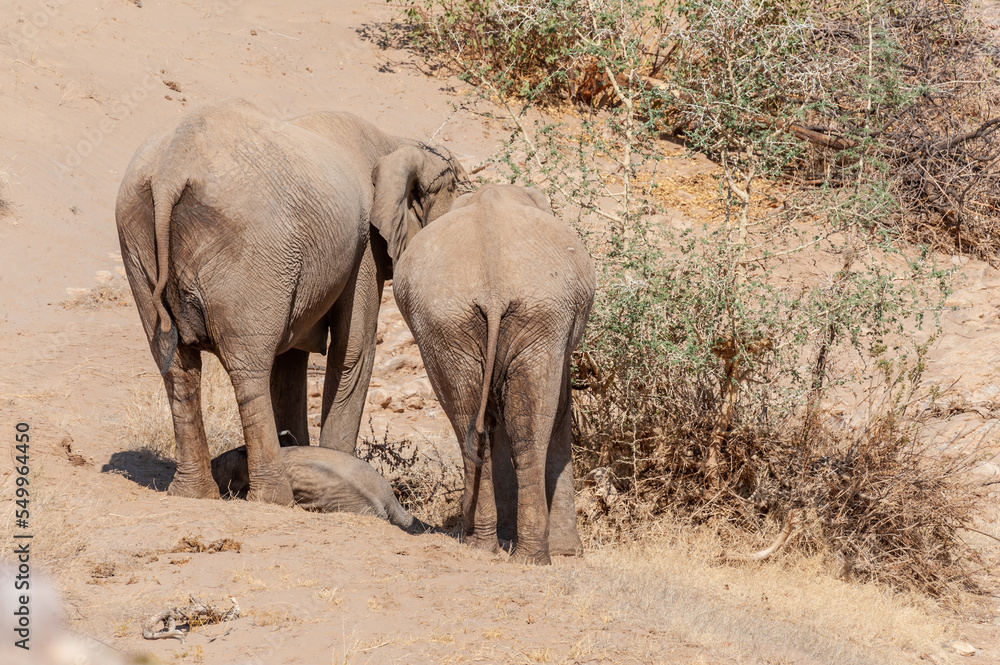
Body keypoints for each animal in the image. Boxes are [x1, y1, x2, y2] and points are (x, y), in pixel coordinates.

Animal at [116, 98, 466, 504]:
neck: (398, 142)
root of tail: (171, 169)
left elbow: (291, 362)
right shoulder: (364, 246)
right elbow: (353, 351)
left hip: (136, 235)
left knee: (177, 368)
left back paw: (193, 494)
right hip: (249, 250)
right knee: (249, 370)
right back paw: (274, 498)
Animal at [392, 184, 597, 564]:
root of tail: (494, 288)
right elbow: (560, 406)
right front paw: (568, 553)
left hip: (449, 323)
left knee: (474, 426)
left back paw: (487, 547)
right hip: (531, 317)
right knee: (526, 431)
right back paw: (529, 556)